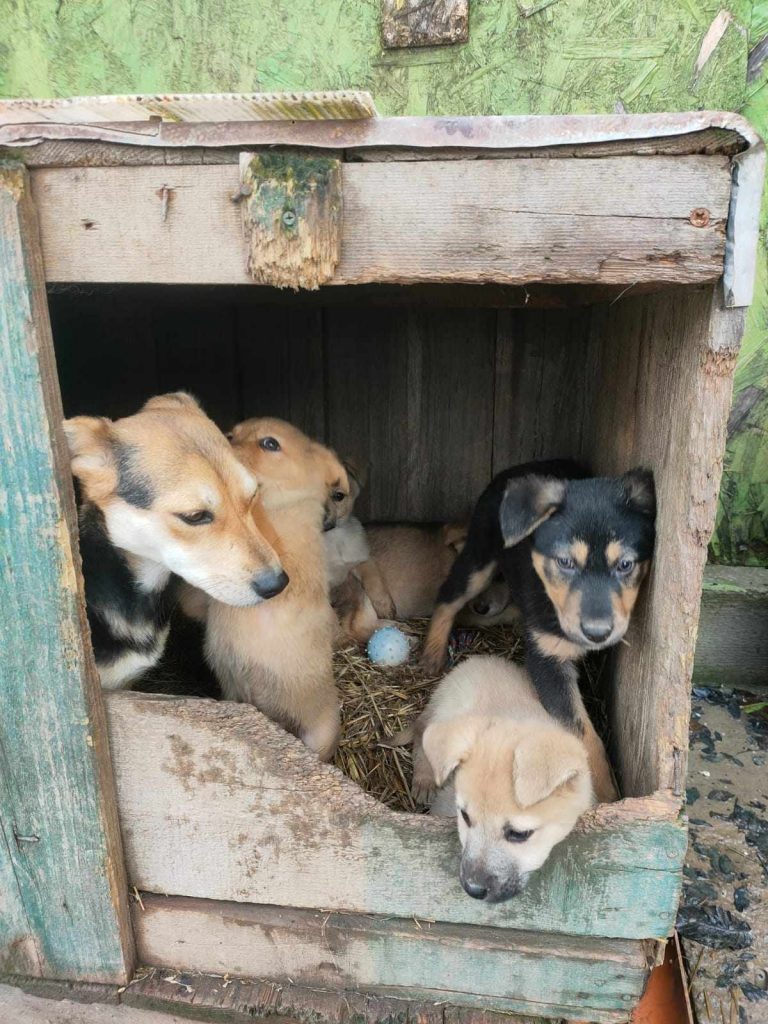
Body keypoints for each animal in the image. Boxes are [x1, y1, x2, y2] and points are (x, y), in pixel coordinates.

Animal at [411, 655, 598, 905]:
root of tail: (480, 659)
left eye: (518, 834)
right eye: (465, 817)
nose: (473, 889)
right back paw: (423, 780)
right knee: (421, 734)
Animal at [421, 460, 655, 802]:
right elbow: (585, 735)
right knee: (448, 597)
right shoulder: (548, 661)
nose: (597, 633)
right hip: (480, 556)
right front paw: (607, 794)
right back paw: (432, 652)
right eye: (565, 562)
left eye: (625, 565)